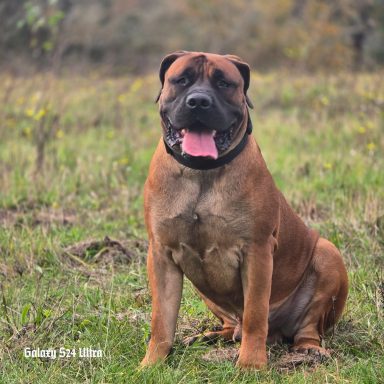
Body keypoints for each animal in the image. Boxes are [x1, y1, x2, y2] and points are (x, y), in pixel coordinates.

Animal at [141, 51, 348, 368]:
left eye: (224, 83)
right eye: (182, 80)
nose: (198, 101)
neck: (202, 172)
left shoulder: (256, 251)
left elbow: (255, 313)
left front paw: (251, 364)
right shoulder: (161, 253)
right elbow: (161, 319)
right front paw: (151, 363)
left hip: (328, 255)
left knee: (305, 327)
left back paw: (308, 351)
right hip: (206, 292)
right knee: (232, 323)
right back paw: (211, 336)